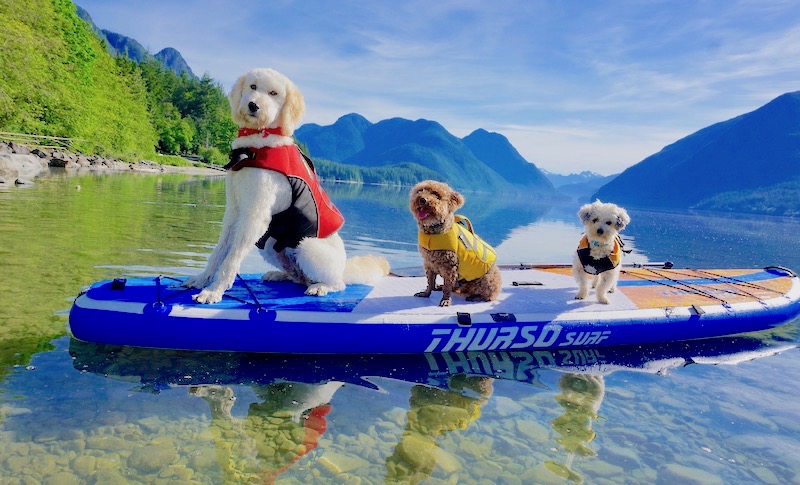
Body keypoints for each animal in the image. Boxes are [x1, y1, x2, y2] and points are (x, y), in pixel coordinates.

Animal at [185, 68, 390, 302]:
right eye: (253, 86)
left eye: (274, 93)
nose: (253, 105)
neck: (258, 141)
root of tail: (344, 268)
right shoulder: (234, 211)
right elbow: (219, 251)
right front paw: (201, 279)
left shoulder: (255, 216)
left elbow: (231, 258)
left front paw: (214, 290)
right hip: (269, 244)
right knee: (299, 277)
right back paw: (280, 274)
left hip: (307, 246)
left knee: (338, 283)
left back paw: (321, 286)